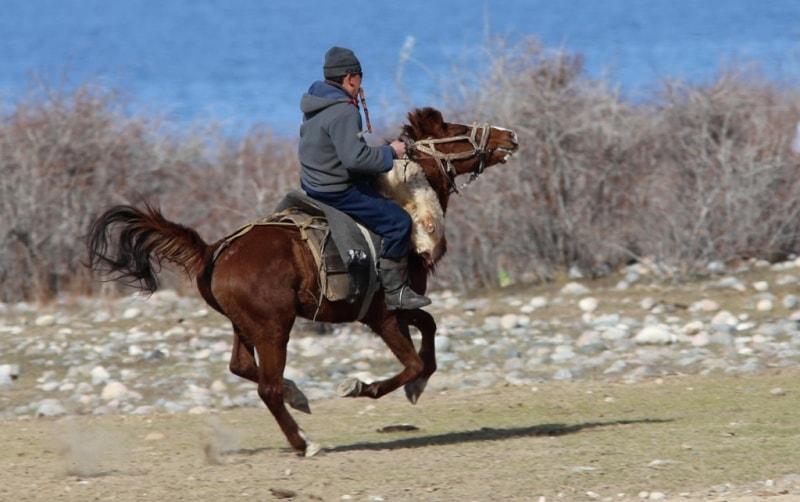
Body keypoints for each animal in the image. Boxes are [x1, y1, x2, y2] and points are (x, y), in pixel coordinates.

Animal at [87, 108, 520, 456]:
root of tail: (213, 252)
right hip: (274, 328)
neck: (404, 207)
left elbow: (428, 333)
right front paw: (361, 387)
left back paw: (298, 397)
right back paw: (304, 442)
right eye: (457, 129)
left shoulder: (398, 307)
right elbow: (413, 362)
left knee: (242, 366)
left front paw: (415, 388)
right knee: (267, 388)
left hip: (245, 326)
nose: (509, 135)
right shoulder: (383, 316)